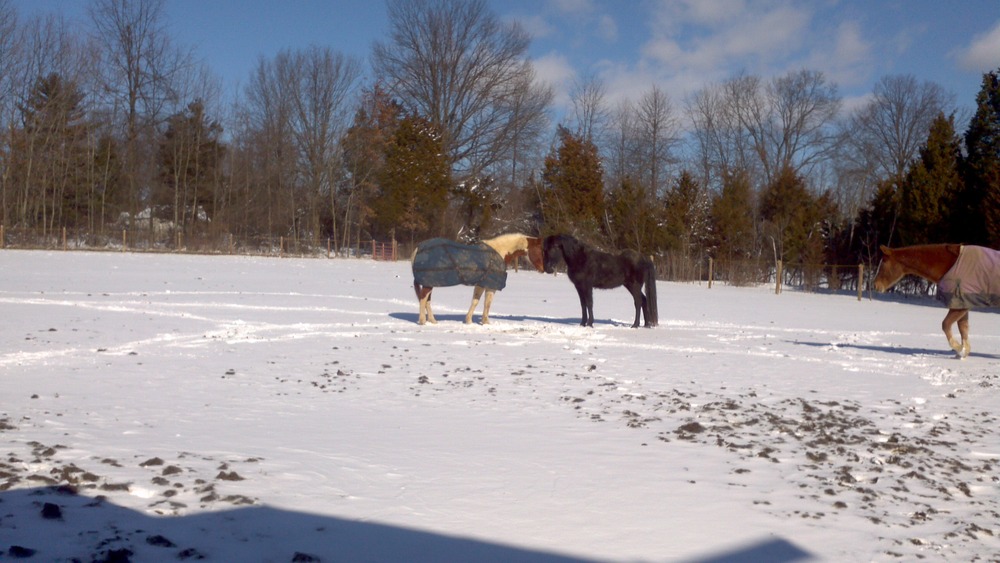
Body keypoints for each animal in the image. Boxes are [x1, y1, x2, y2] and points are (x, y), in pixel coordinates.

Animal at [412, 233, 544, 325]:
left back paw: (432, 320)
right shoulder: (491, 286)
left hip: (430, 282)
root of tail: (419, 247)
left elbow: (475, 301)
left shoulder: (480, 284)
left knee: (427, 300)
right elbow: (487, 303)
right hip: (429, 283)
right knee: (423, 299)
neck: (499, 252)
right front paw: (486, 322)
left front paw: (468, 320)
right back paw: (422, 321)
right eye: (539, 250)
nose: (542, 269)